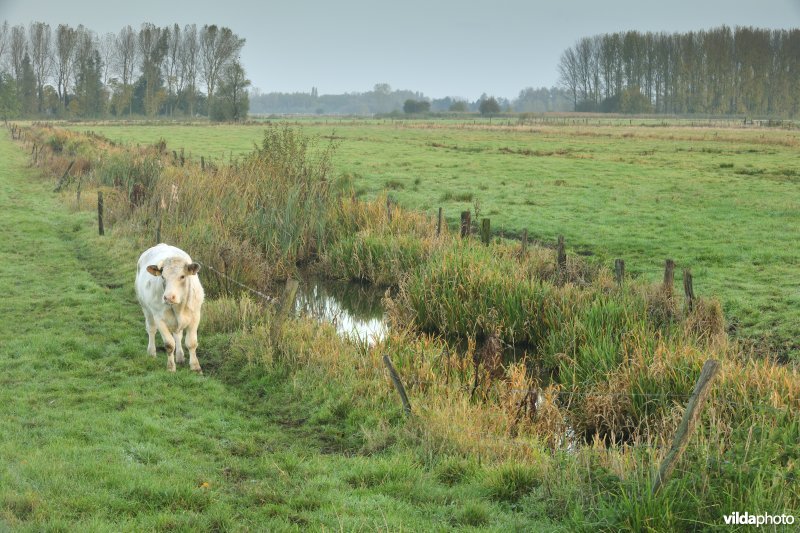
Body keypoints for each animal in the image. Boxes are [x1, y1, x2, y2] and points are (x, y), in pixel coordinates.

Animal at [135, 243, 205, 372]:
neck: (179, 307)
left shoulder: (195, 316)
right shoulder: (159, 319)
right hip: (146, 308)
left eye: (182, 276)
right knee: (151, 329)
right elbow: (169, 344)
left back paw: (180, 356)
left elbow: (191, 342)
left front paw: (195, 367)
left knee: (178, 335)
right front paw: (171, 367)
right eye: (163, 277)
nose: (168, 297)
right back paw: (151, 352)